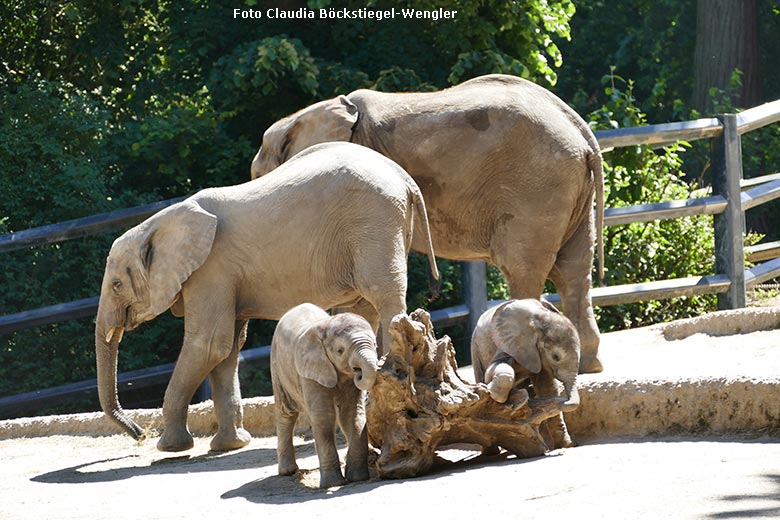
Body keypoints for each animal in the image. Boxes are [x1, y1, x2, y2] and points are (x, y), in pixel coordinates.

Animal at [95, 141, 438, 450]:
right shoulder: (225, 277)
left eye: (117, 285)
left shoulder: (211, 270)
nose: (140, 434)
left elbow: (208, 345)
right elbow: (228, 349)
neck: (156, 223)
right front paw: (230, 445)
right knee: (363, 306)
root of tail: (403, 177)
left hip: (374, 223)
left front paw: (170, 449)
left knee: (383, 296)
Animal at [253, 73, 608, 374]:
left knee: (525, 269)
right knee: (575, 271)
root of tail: (582, 133)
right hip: (570, 191)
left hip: (536, 187)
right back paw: (587, 365)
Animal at [272, 302, 380, 490]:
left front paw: (357, 478)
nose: (358, 372)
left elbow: (352, 415)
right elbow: (324, 418)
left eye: (374, 344)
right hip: (277, 366)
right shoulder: (310, 371)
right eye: (340, 351)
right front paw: (332, 484)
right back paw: (288, 471)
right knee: (286, 413)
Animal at [470, 298, 580, 448]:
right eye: (555, 357)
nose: (564, 400)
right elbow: (493, 369)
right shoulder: (508, 342)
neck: (539, 320)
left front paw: (566, 445)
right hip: (475, 348)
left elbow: (547, 388)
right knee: (480, 374)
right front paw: (493, 392)